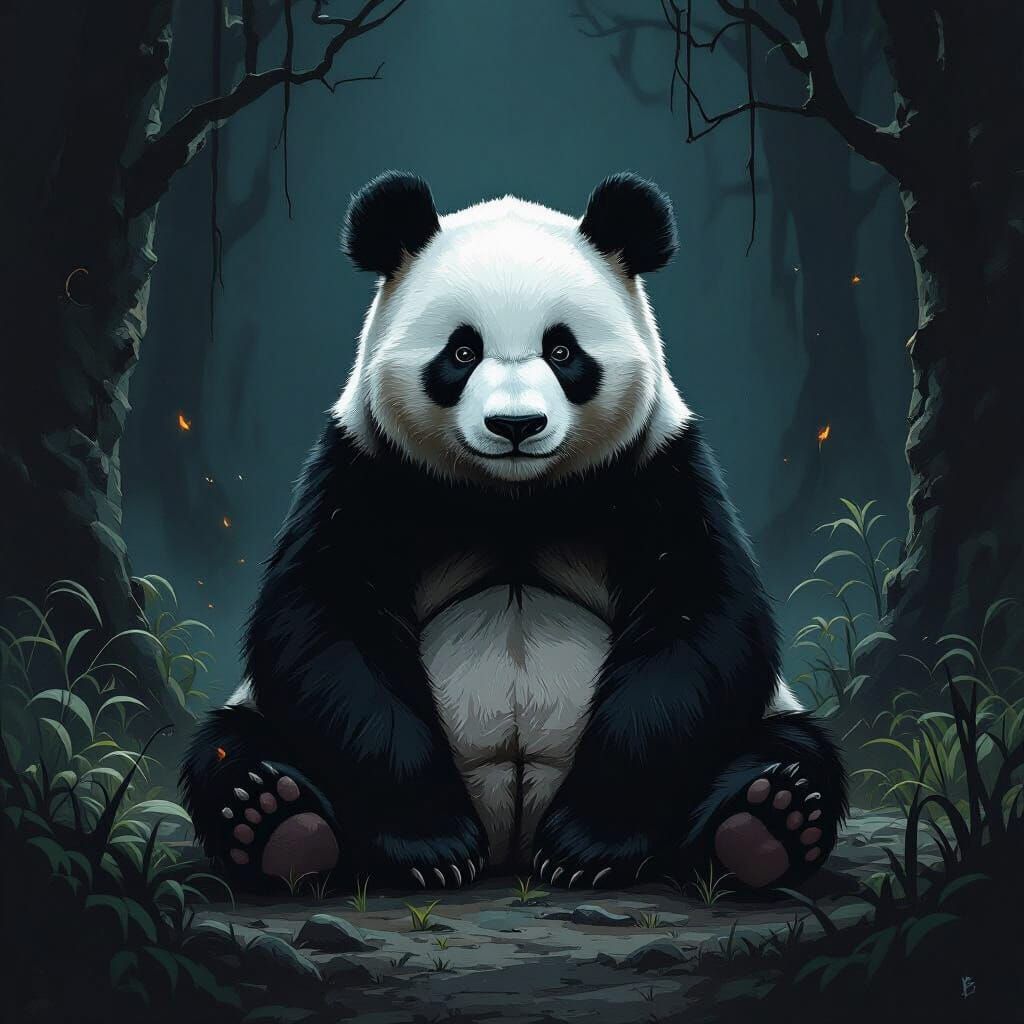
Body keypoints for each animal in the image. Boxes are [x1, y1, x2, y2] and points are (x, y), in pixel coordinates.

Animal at [181, 171, 847, 893]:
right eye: (461, 351)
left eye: (562, 350)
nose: (516, 425)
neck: (513, 499)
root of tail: (511, 846)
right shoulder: (364, 472)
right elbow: (324, 628)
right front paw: (432, 846)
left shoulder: (659, 470)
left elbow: (702, 626)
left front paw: (588, 847)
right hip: (254, 714)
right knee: (227, 746)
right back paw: (278, 821)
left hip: (773, 713)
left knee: (797, 748)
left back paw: (767, 820)